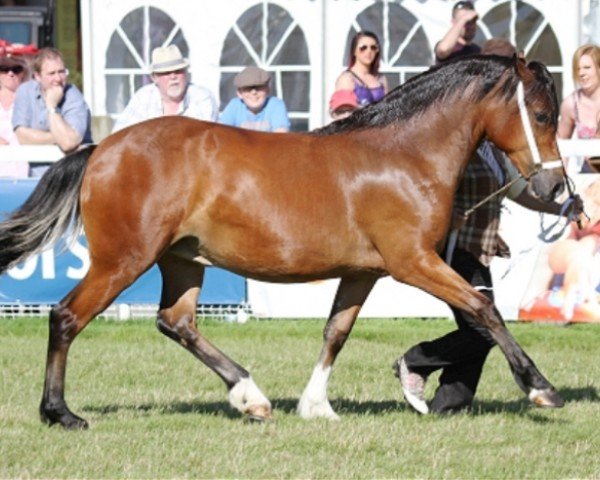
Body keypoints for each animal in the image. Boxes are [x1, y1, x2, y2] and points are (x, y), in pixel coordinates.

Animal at [2, 55, 568, 428]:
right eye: (542, 115)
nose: (556, 188)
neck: (404, 156)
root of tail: (101, 149)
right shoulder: (412, 261)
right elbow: (483, 309)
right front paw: (541, 388)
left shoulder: (363, 271)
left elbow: (336, 332)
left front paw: (316, 406)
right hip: (123, 259)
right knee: (67, 317)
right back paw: (60, 413)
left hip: (182, 260)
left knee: (176, 322)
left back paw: (250, 397)